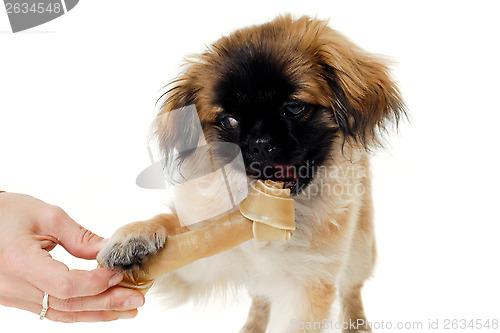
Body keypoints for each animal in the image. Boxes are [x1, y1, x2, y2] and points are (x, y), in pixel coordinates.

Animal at [98, 14, 406, 332]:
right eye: (229, 120)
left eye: (293, 108)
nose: (259, 142)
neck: (270, 216)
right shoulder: (205, 259)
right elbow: (170, 225)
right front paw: (134, 239)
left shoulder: (308, 285)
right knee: (260, 298)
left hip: (360, 249)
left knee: (351, 288)